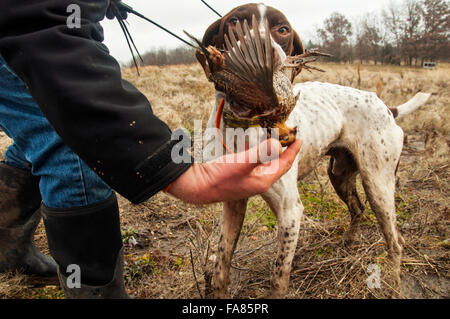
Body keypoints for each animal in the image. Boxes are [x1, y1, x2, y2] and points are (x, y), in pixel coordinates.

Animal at [200, 2, 428, 298]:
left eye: (282, 29)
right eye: (235, 21)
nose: (261, 57)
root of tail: (387, 107)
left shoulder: (290, 211)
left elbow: (278, 278)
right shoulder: (233, 203)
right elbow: (221, 267)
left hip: (378, 185)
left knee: (395, 241)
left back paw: (396, 285)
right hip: (340, 174)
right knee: (357, 209)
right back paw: (347, 244)